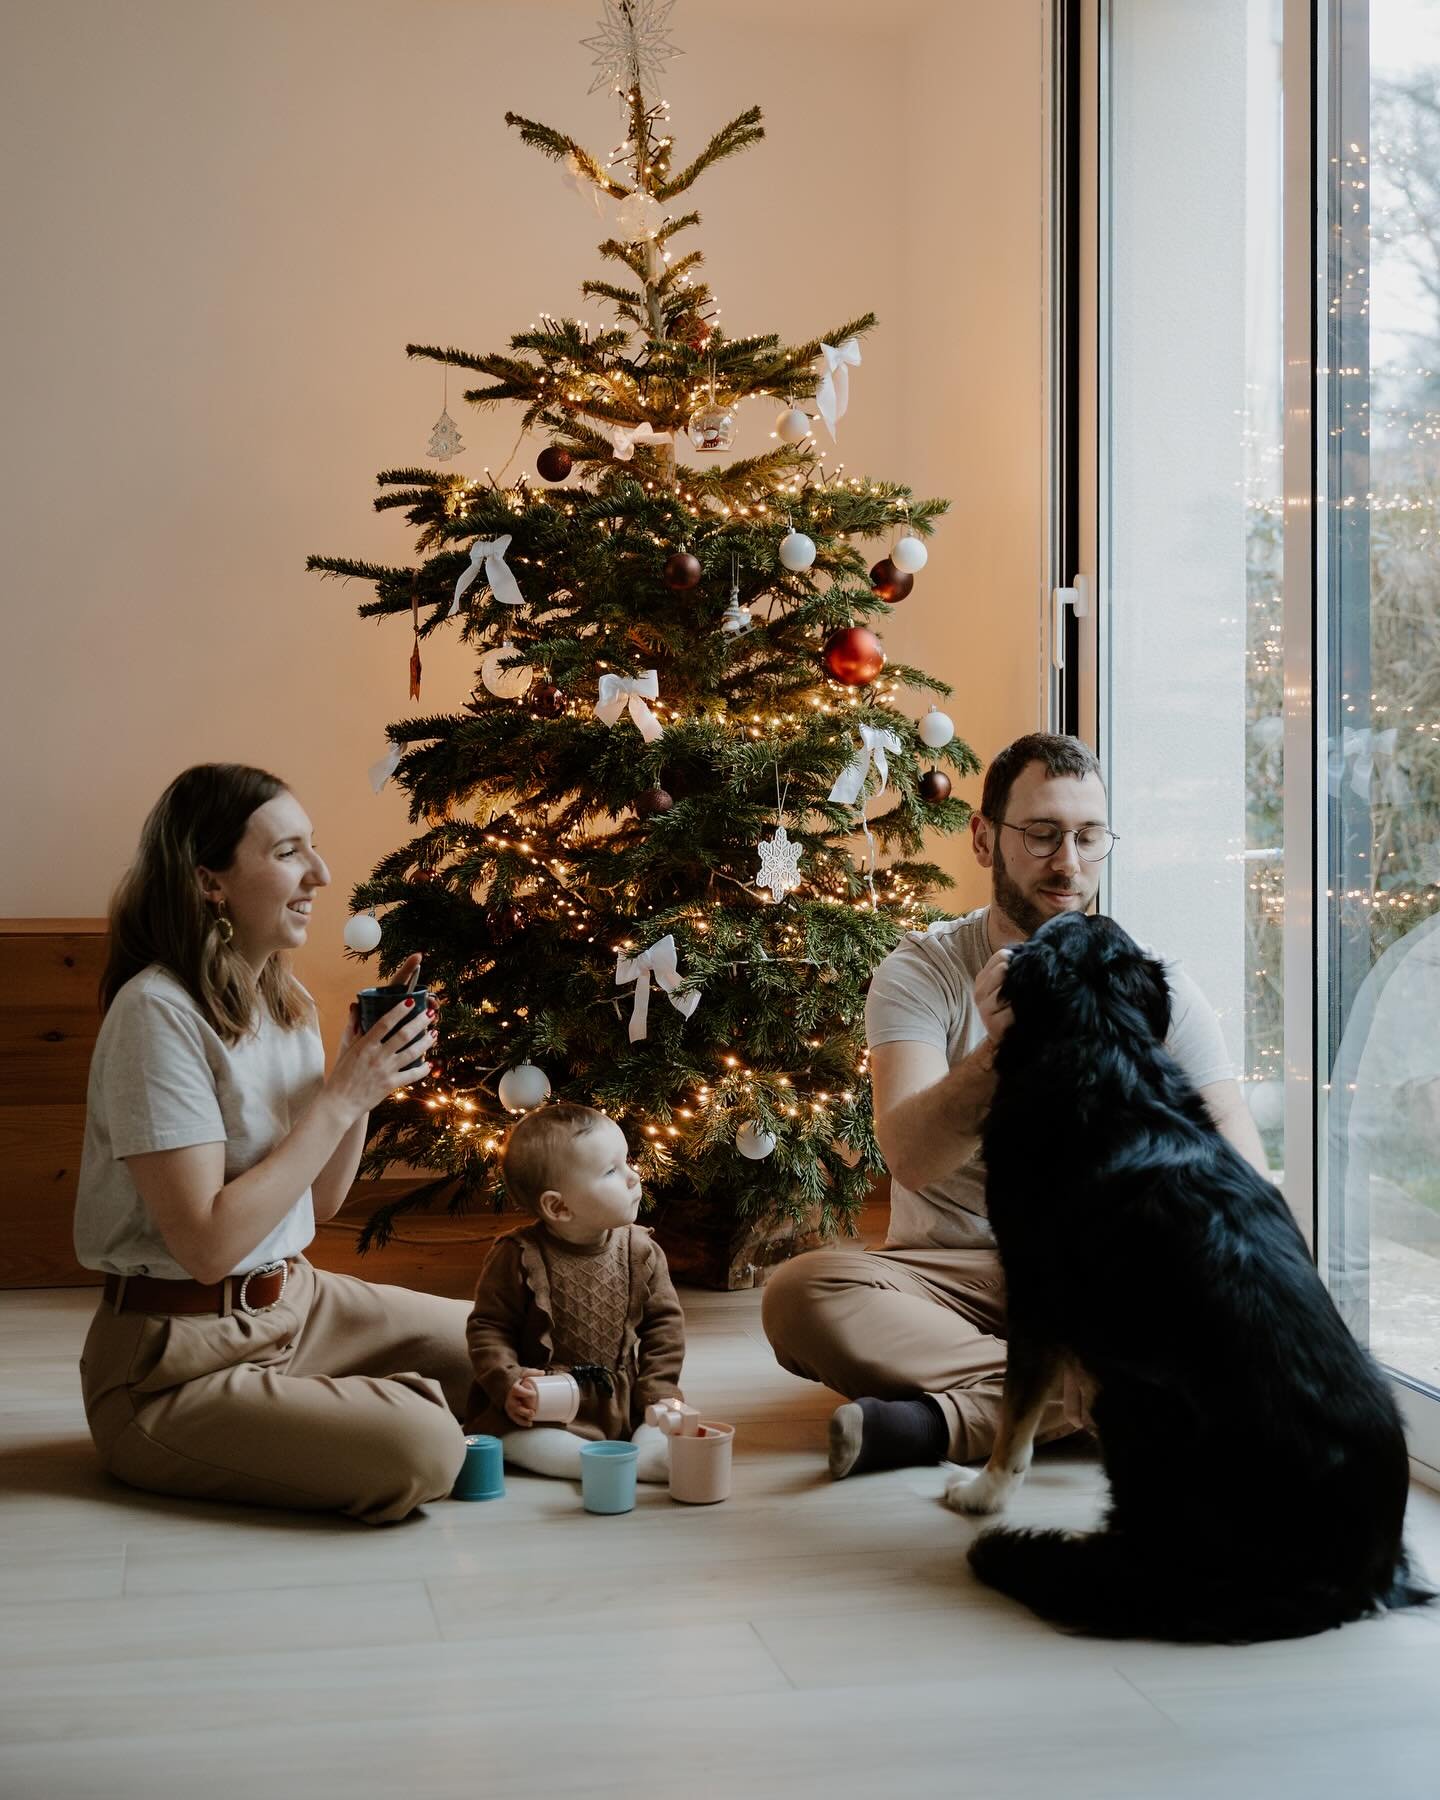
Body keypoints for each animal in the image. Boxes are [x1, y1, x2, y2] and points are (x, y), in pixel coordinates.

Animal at [943, 921, 1425, 1641]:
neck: (1102, 1033)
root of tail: (1353, 1577)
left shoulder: (1033, 1291)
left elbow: (1015, 1414)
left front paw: (982, 1492)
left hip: (1134, 1396)